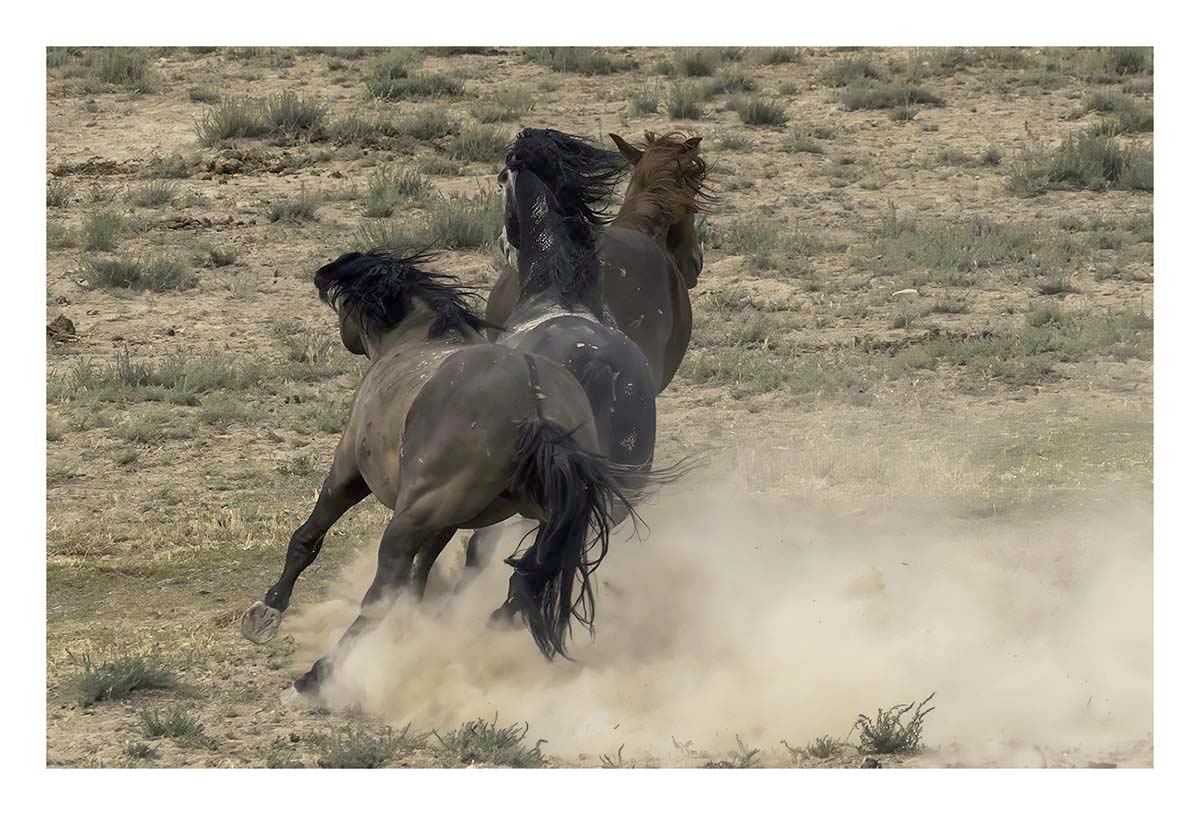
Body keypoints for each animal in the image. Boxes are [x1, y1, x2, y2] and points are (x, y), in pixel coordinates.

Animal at [240, 250, 638, 696]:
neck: (415, 340)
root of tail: (536, 409)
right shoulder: (446, 520)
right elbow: (423, 571)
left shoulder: (350, 474)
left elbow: (307, 539)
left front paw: (267, 611)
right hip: (546, 521)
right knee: (522, 577)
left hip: (407, 520)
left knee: (380, 594)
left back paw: (321, 673)